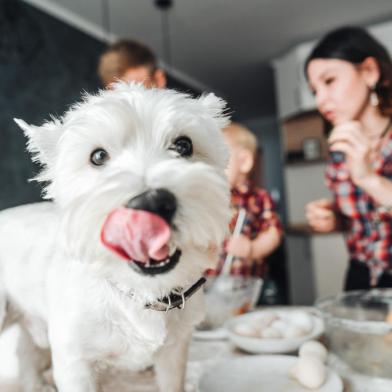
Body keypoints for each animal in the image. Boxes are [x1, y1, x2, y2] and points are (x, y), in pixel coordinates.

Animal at [0, 83, 231, 392]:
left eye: (184, 145)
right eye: (98, 156)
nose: (151, 203)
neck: (139, 292)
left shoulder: (174, 352)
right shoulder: (75, 364)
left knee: (26, 351)